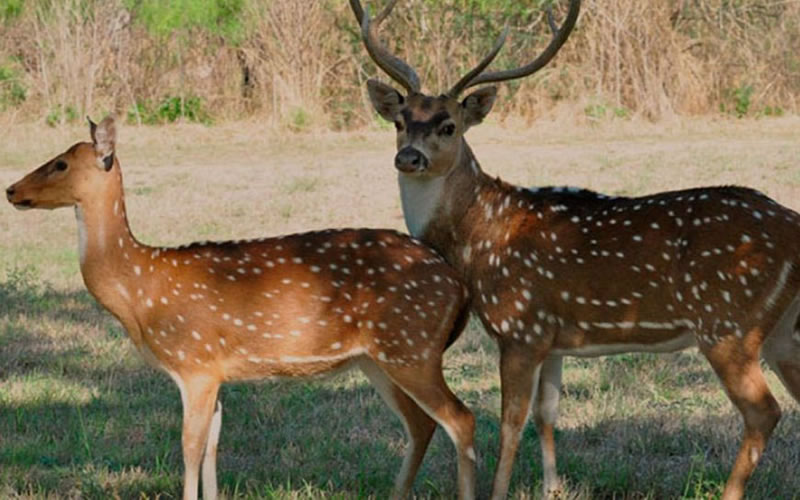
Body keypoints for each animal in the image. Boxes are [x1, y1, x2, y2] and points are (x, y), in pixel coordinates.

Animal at [4, 116, 478, 500]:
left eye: (61, 163)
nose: (10, 189)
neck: (140, 290)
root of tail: (457, 283)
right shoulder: (215, 373)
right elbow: (212, 445)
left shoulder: (195, 362)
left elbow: (190, 447)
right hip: (377, 358)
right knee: (421, 424)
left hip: (412, 346)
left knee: (461, 418)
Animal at [350, 0, 800, 498]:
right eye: (400, 121)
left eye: (449, 126)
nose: (408, 157)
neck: (475, 239)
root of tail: (793, 225)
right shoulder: (553, 338)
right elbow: (547, 415)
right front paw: (552, 486)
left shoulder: (520, 327)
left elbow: (510, 424)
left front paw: (501, 490)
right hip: (780, 331)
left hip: (728, 323)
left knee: (764, 411)